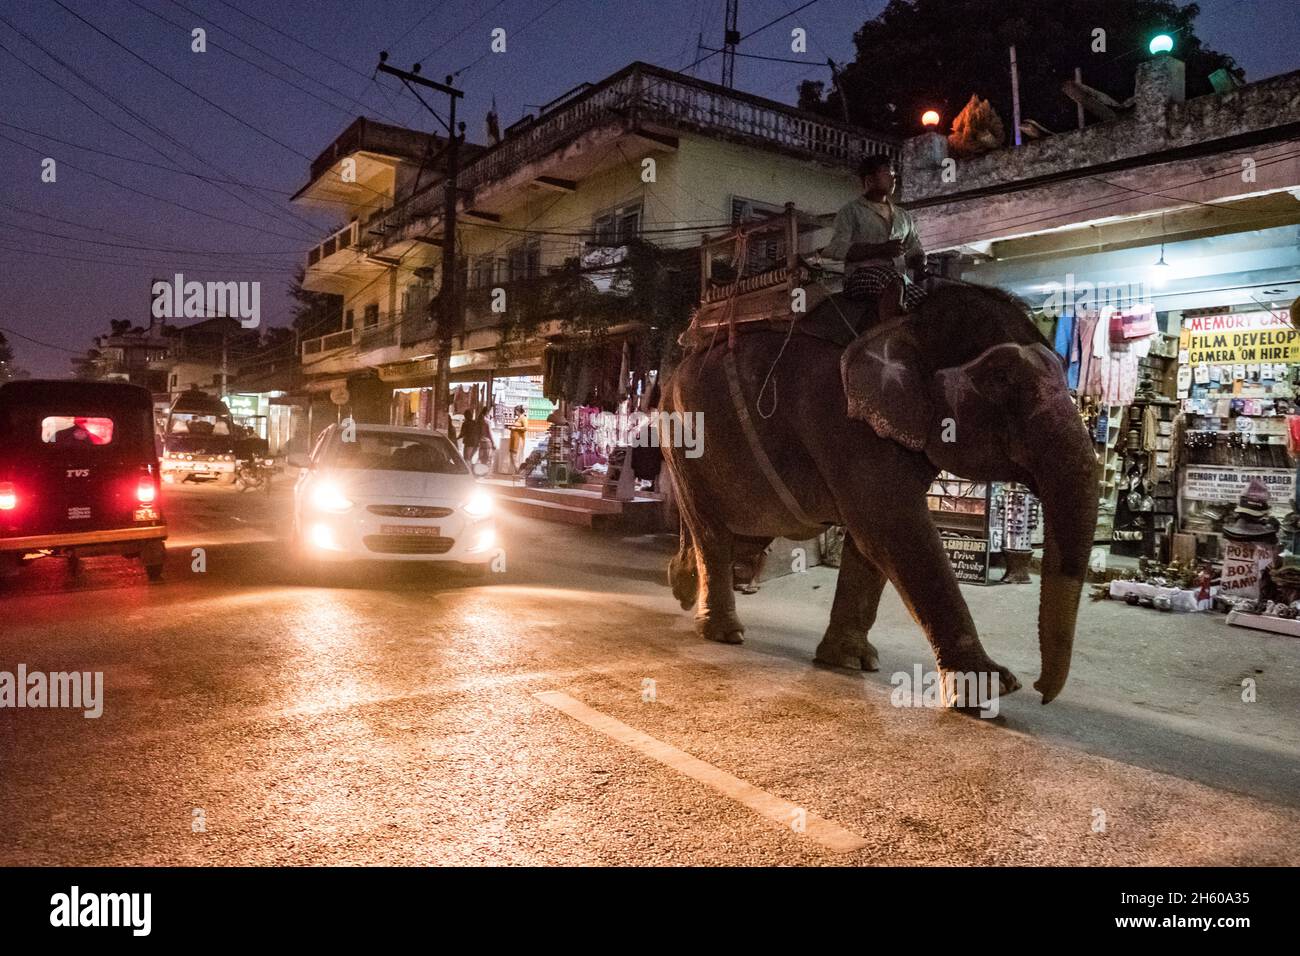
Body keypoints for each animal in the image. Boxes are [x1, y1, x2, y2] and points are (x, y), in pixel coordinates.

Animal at [660, 280, 1097, 707]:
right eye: (1001, 379)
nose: (1041, 691)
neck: (906, 317)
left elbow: (870, 543)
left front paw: (850, 660)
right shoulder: (838, 418)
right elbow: (892, 528)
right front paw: (989, 687)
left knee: (746, 534)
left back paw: (681, 586)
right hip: (682, 440)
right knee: (713, 533)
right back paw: (723, 631)